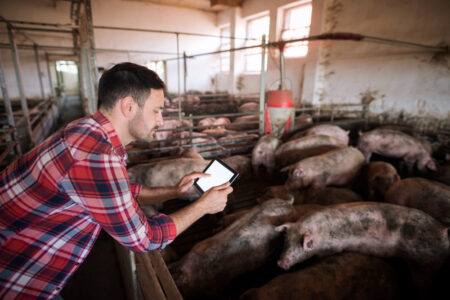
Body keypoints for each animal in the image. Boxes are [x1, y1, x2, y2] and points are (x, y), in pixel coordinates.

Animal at [276, 202, 448, 288]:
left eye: (304, 244)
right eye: (286, 242)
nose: (280, 262)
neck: (322, 232)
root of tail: (443, 232)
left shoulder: (332, 248)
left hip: (424, 262)